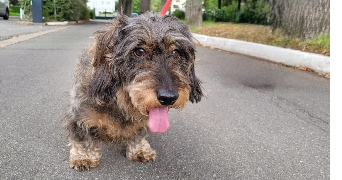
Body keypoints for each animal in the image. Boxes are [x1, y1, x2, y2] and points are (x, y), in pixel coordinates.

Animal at [63, 12, 203, 170]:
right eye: (139, 51)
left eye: (176, 52)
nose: (169, 97)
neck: (121, 102)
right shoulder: (79, 115)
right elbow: (82, 137)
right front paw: (84, 156)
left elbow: (138, 135)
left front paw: (139, 149)